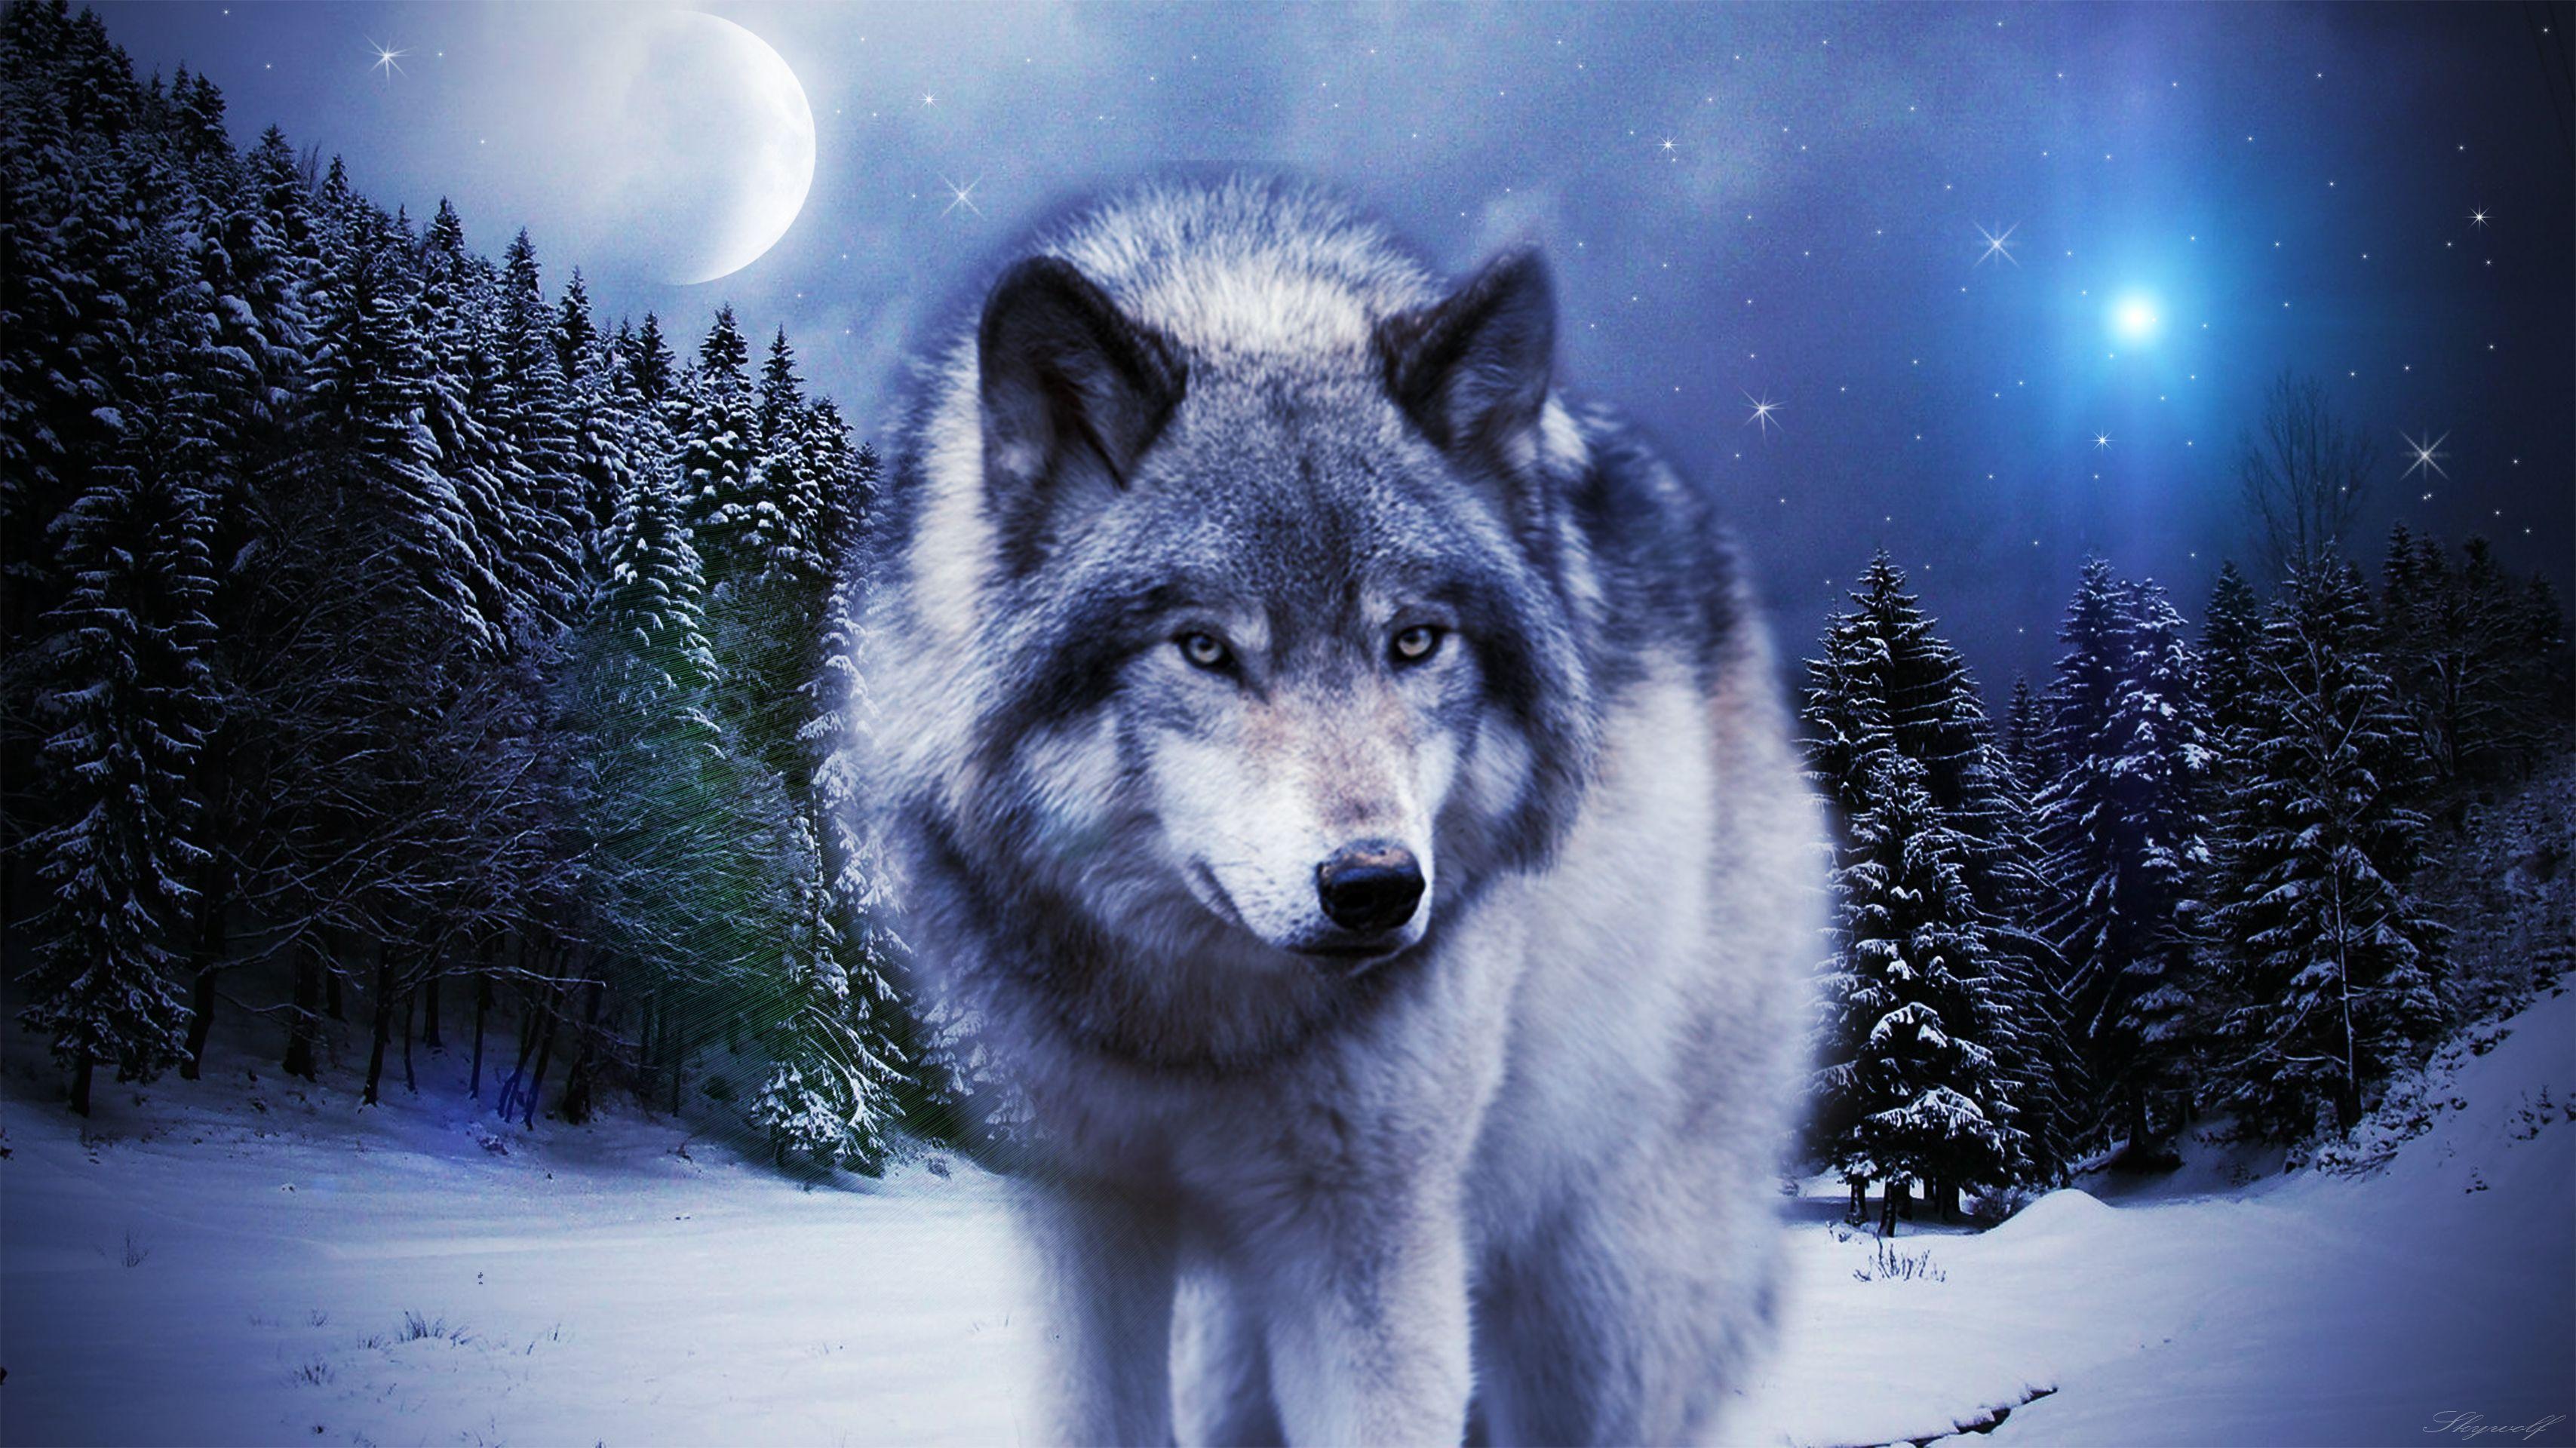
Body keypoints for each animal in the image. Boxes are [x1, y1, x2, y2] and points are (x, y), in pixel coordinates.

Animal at [845, 178, 1824, 1447]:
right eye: (1204, 649)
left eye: (1412, 641)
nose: (1375, 887)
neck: (1190, 1034)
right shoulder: (1075, 1207)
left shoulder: (1369, 1241)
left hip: (1595, 1291)